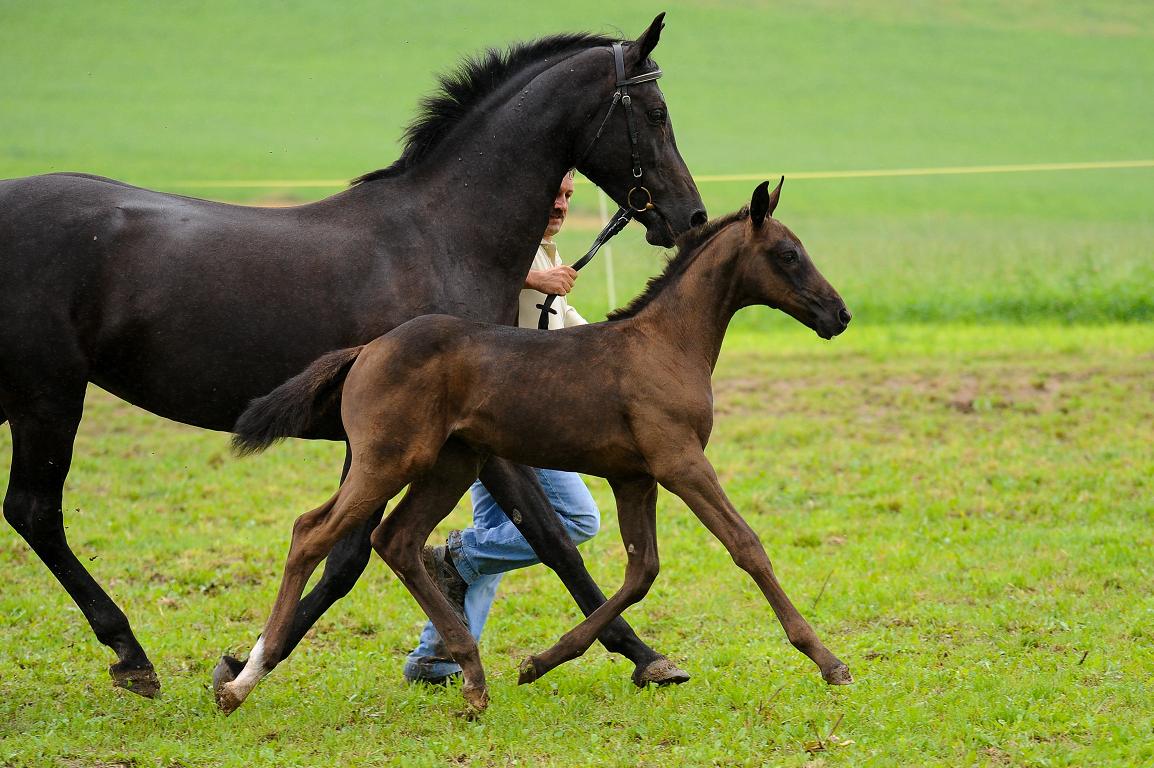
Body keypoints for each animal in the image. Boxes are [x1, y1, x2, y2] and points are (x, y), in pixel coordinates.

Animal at [0, 13, 701, 691]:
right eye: (656, 112)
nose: (690, 217)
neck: (443, 238)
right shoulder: (445, 436)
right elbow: (545, 537)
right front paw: (644, 655)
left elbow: (355, 556)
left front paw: (247, 659)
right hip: (48, 398)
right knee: (34, 512)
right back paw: (130, 653)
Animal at [220, 179, 858, 710]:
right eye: (788, 254)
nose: (841, 313)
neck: (664, 344)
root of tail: (367, 350)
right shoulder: (680, 462)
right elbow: (746, 546)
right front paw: (828, 661)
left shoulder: (635, 476)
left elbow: (641, 571)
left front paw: (542, 662)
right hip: (390, 459)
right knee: (312, 532)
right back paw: (242, 681)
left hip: (450, 464)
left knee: (396, 540)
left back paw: (474, 678)